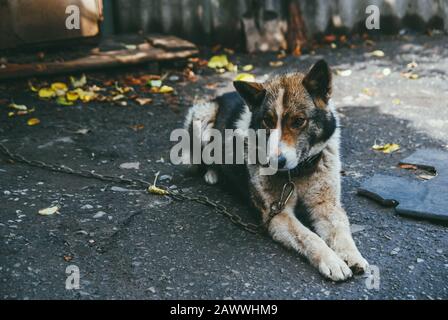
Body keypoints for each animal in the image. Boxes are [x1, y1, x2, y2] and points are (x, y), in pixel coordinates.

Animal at [184, 59, 370, 280]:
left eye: (298, 121)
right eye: (268, 121)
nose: (276, 161)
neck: (298, 172)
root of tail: (222, 96)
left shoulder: (327, 204)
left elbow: (341, 231)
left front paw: (352, 255)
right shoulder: (278, 215)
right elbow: (310, 237)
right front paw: (332, 261)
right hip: (201, 118)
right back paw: (213, 174)